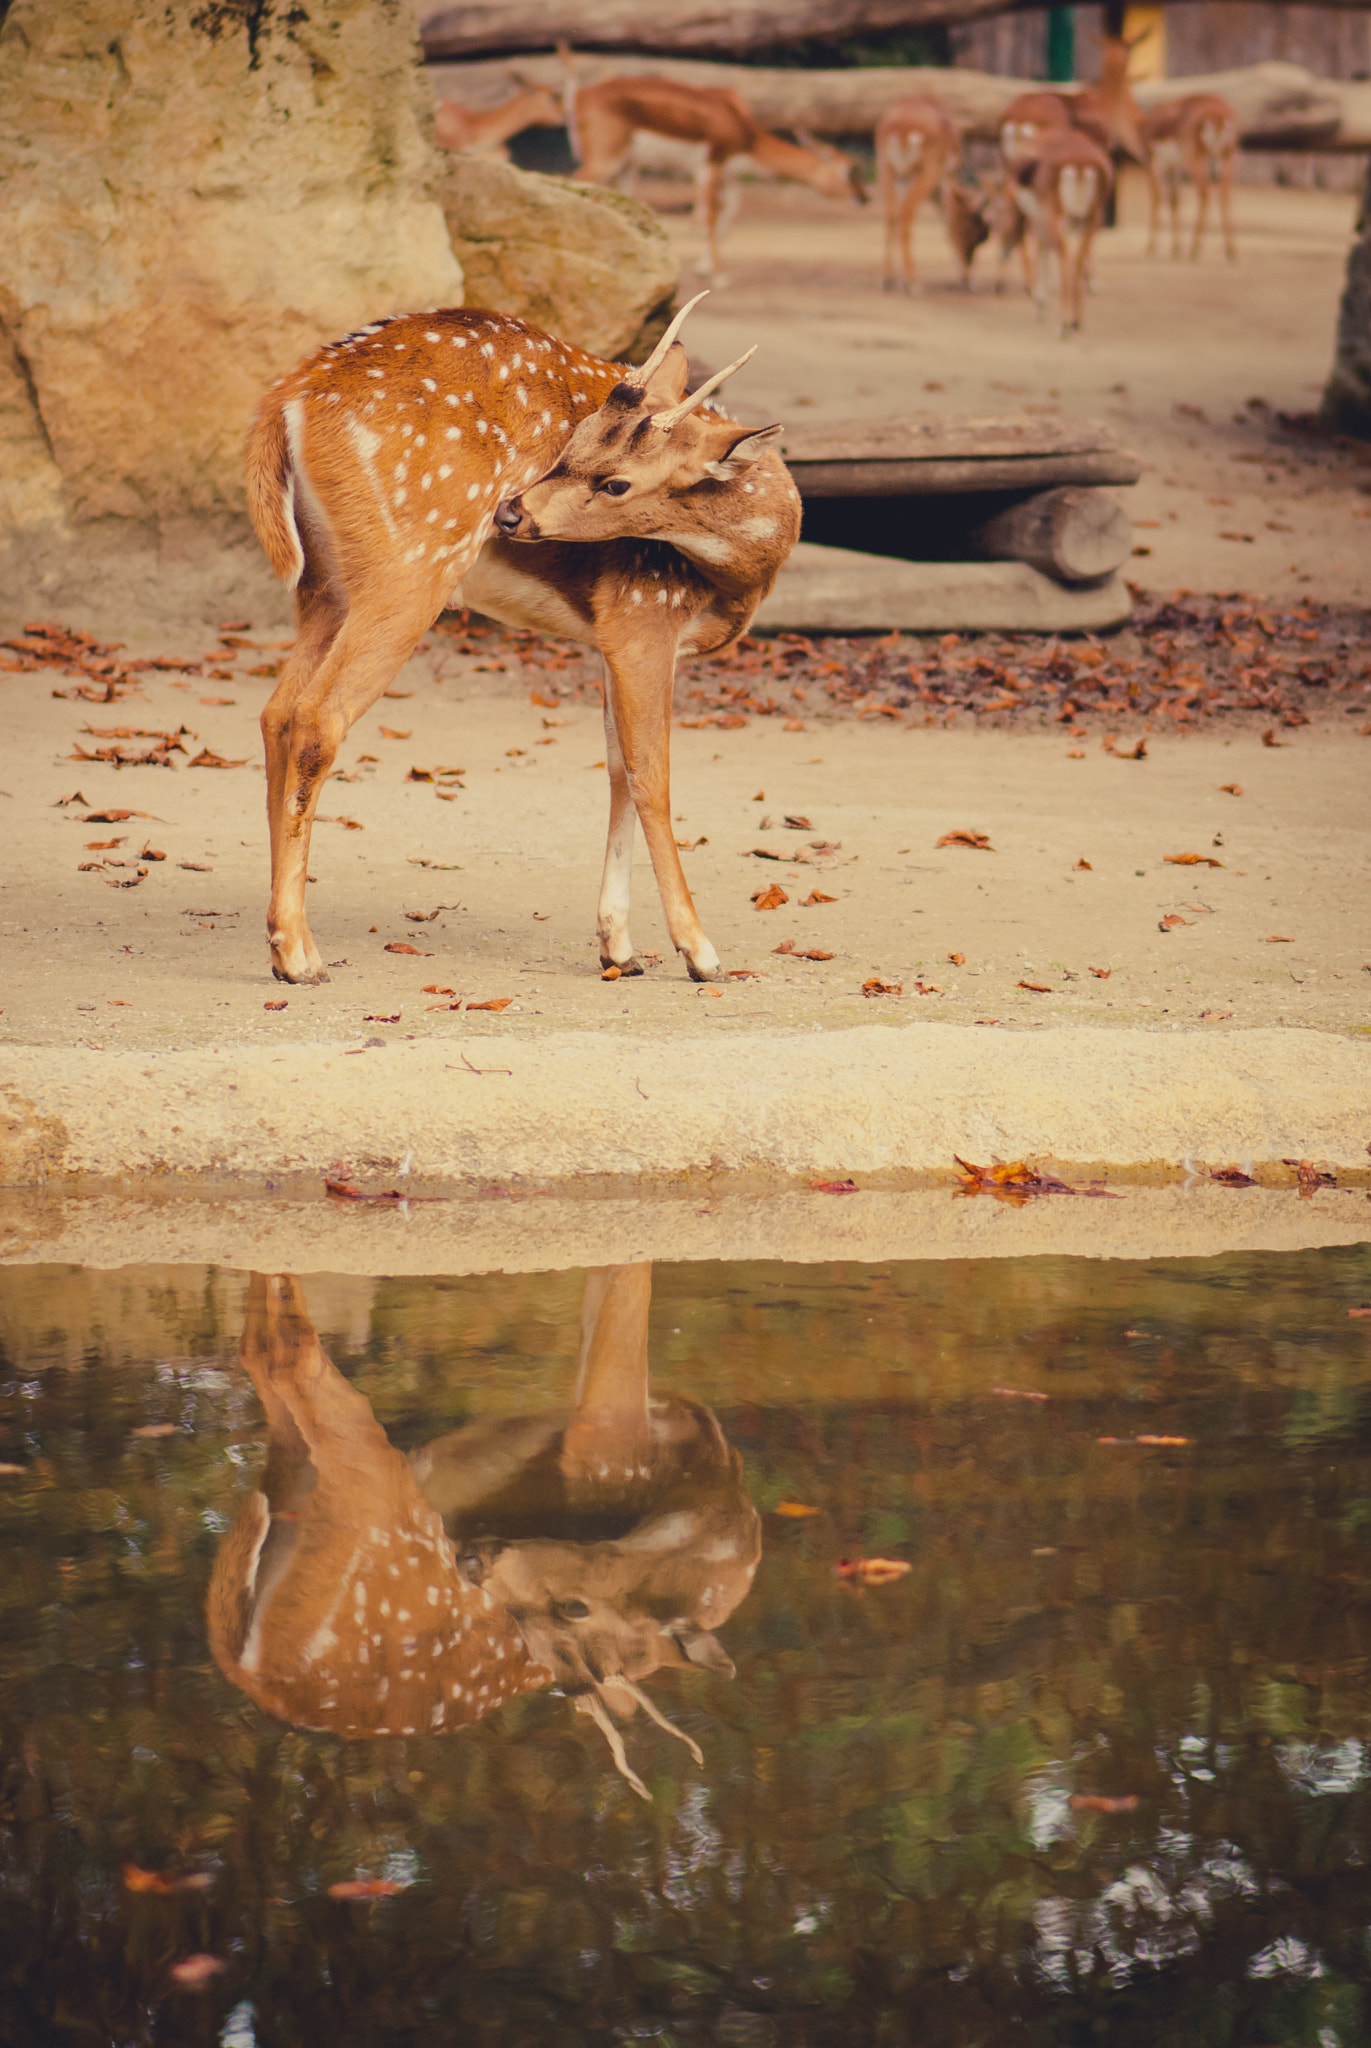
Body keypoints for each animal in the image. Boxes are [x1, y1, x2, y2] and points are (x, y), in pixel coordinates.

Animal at [208, 1267, 760, 1799]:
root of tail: (251, 1663)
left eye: (573, 1608)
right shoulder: (603, 1446)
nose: (474, 1558)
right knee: (286, 1352)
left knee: (265, 1351)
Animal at [244, 292, 800, 989]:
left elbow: (617, 770)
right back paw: (300, 956)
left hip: (324, 584)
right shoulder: (643, 614)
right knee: (318, 717)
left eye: (615, 480)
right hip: (412, 562)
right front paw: (700, 952)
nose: (510, 512)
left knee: (276, 713)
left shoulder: (609, 637)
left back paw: (278, 942)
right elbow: (653, 776)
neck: (744, 574)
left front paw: (618, 948)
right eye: (573, 442)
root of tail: (287, 398)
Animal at [567, 73, 866, 287]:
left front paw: (704, 269)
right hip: (606, 159)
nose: (863, 198)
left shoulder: (729, 175)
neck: (746, 134)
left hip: (624, 167)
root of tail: (581, 96)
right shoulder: (710, 166)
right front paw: (718, 276)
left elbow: (727, 213)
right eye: (848, 171)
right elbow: (711, 216)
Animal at [874, 94, 962, 292]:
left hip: (888, 172)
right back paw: (913, 284)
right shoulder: (942, 180)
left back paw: (888, 280)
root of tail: (901, 126)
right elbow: (948, 221)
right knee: (906, 215)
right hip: (923, 175)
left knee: (891, 216)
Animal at [1139, 94, 1239, 262]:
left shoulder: (1153, 164)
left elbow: (1157, 199)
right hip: (1226, 159)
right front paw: (1175, 249)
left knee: (1205, 192)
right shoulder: (1174, 167)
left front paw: (1150, 249)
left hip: (1196, 161)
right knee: (1224, 194)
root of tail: (1219, 116)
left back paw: (1194, 249)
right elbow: (1174, 200)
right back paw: (1230, 251)